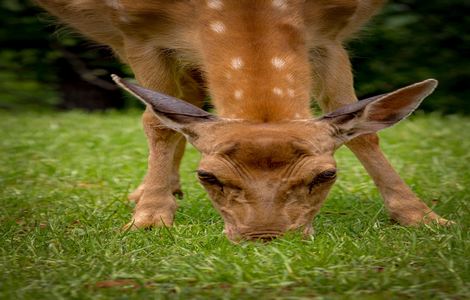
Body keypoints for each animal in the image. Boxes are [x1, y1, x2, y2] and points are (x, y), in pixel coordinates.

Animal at [36, 0, 452, 241]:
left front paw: (422, 216)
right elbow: (156, 122)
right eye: (208, 176)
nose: (265, 235)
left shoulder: (329, 34)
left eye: (326, 175)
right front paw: (150, 219)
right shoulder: (136, 31)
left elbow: (363, 131)